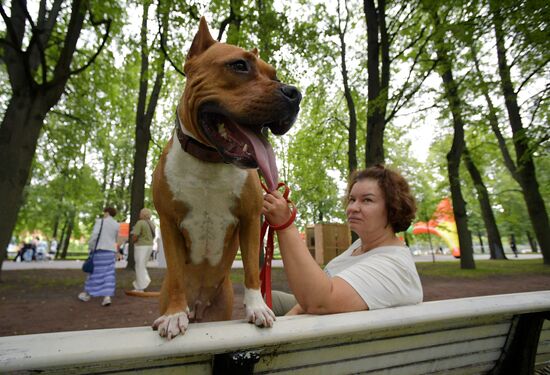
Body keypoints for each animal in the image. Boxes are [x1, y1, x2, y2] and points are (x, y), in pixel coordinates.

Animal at [152, 18, 302, 340]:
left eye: (274, 74)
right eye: (239, 65)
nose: (294, 93)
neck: (210, 160)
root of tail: (198, 306)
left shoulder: (250, 219)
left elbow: (251, 270)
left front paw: (257, 307)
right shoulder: (167, 222)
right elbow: (177, 272)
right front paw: (173, 314)